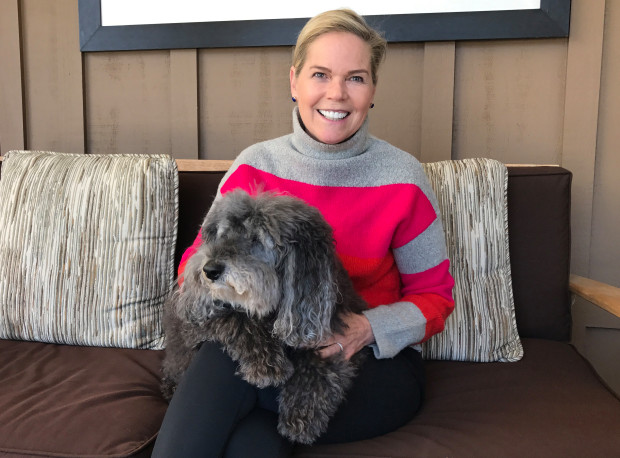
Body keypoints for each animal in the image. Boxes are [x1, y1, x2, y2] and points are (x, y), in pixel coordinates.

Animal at [162, 190, 370, 444]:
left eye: (256, 239)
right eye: (223, 235)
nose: (209, 270)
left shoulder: (337, 330)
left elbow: (320, 363)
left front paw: (302, 415)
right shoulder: (198, 323)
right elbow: (237, 318)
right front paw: (267, 364)